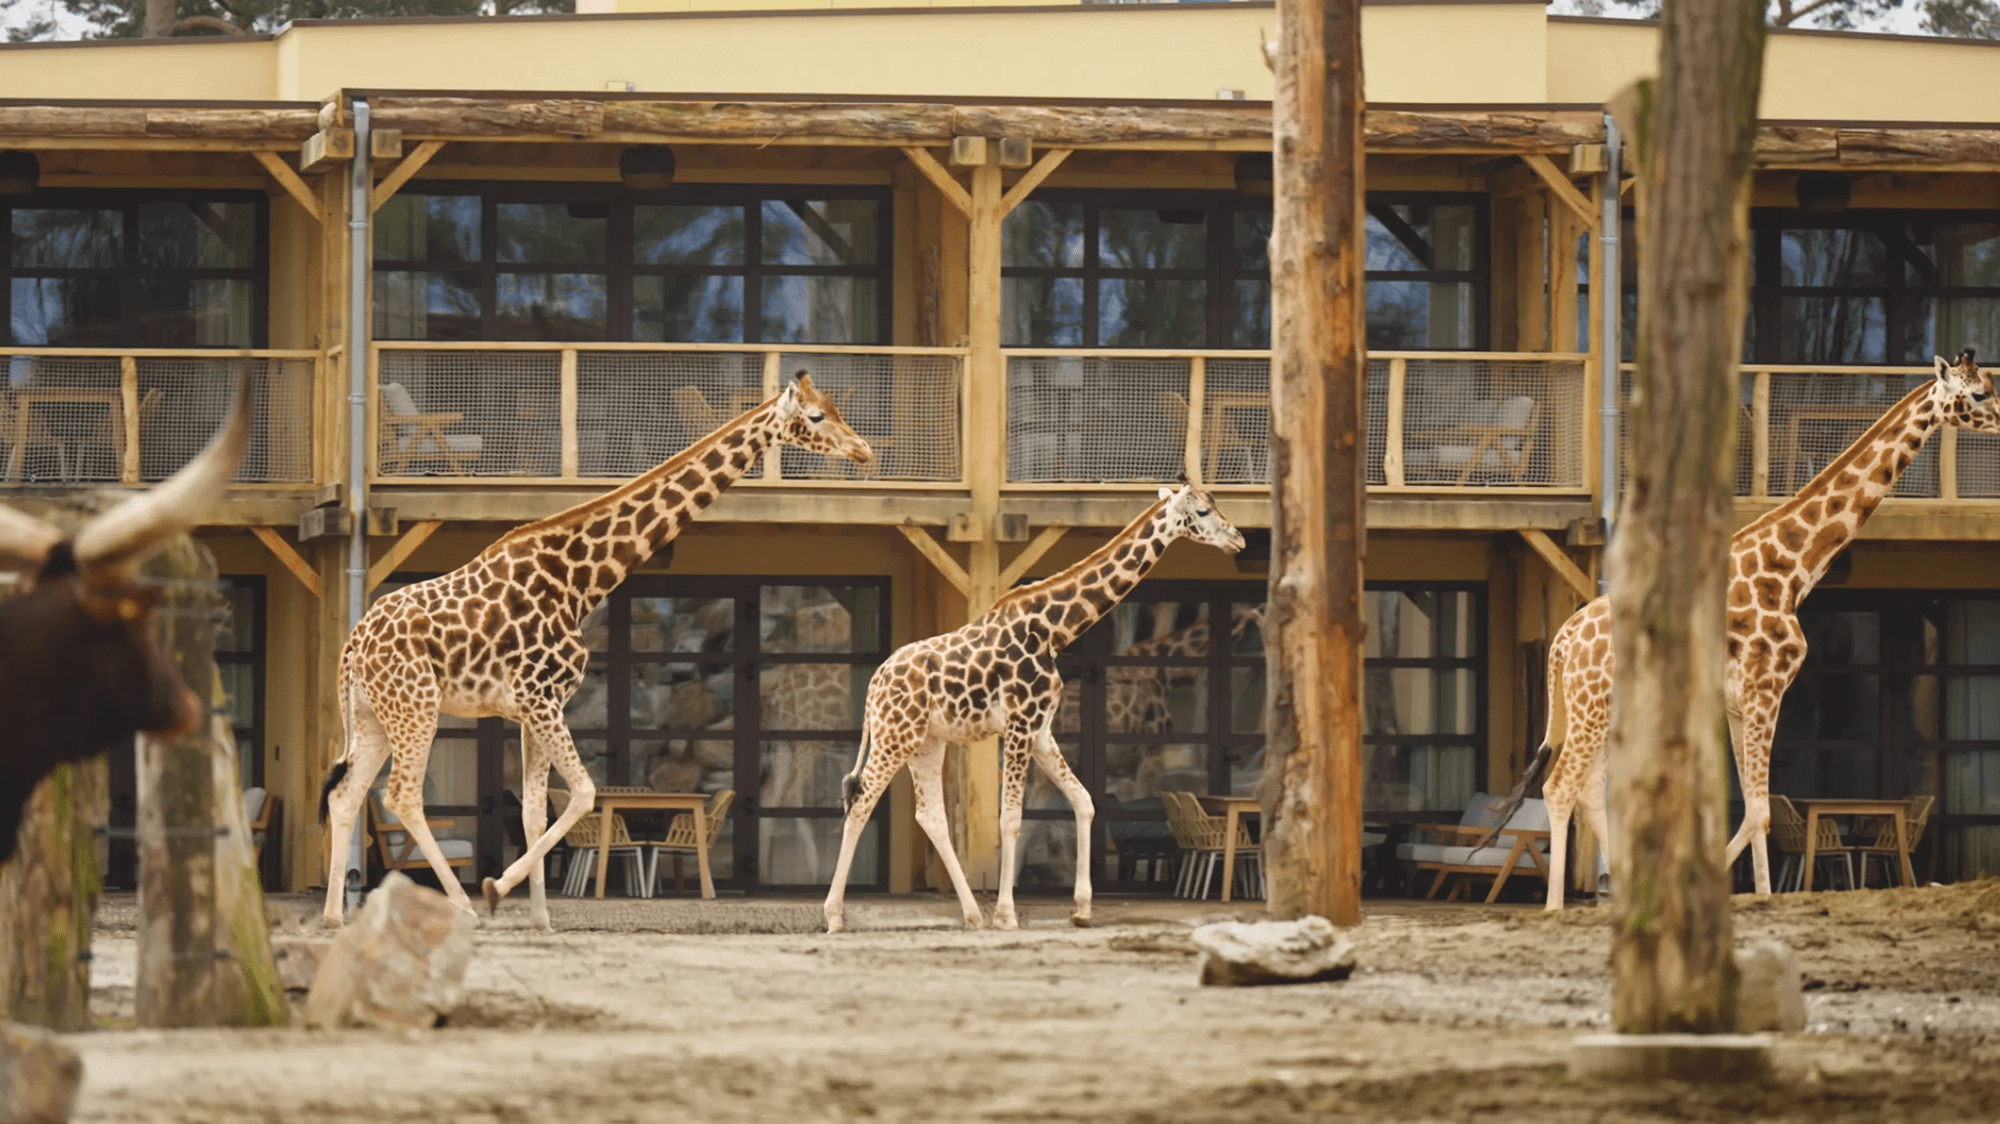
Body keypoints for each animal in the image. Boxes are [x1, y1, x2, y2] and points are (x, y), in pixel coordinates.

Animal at [318, 376, 868, 928]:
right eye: (816, 417)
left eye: (836, 407)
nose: (863, 450)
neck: (580, 582)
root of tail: (351, 646)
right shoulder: (541, 699)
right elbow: (583, 794)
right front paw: (497, 888)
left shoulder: (532, 708)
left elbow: (533, 809)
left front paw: (541, 919)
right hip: (416, 707)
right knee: (401, 795)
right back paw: (462, 905)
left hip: (375, 715)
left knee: (346, 795)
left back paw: (333, 916)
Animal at [820, 482, 1240, 928]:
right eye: (1202, 511)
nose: (1238, 539)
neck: (1055, 630)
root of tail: (874, 685)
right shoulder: (1019, 724)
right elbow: (1011, 820)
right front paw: (1007, 914)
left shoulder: (1041, 730)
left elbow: (1084, 802)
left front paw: (1082, 908)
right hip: (894, 736)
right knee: (861, 801)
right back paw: (834, 915)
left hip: (925, 742)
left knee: (929, 815)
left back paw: (972, 915)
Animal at [1504, 350, 2000, 900]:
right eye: (1979, 393)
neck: (1790, 574)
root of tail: (1562, 639)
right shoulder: (1768, 690)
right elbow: (1760, 811)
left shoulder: (1740, 704)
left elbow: (1755, 812)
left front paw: (1756, 896)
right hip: (1590, 708)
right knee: (1559, 786)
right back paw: (1557, 907)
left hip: (1598, 709)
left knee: (1588, 789)